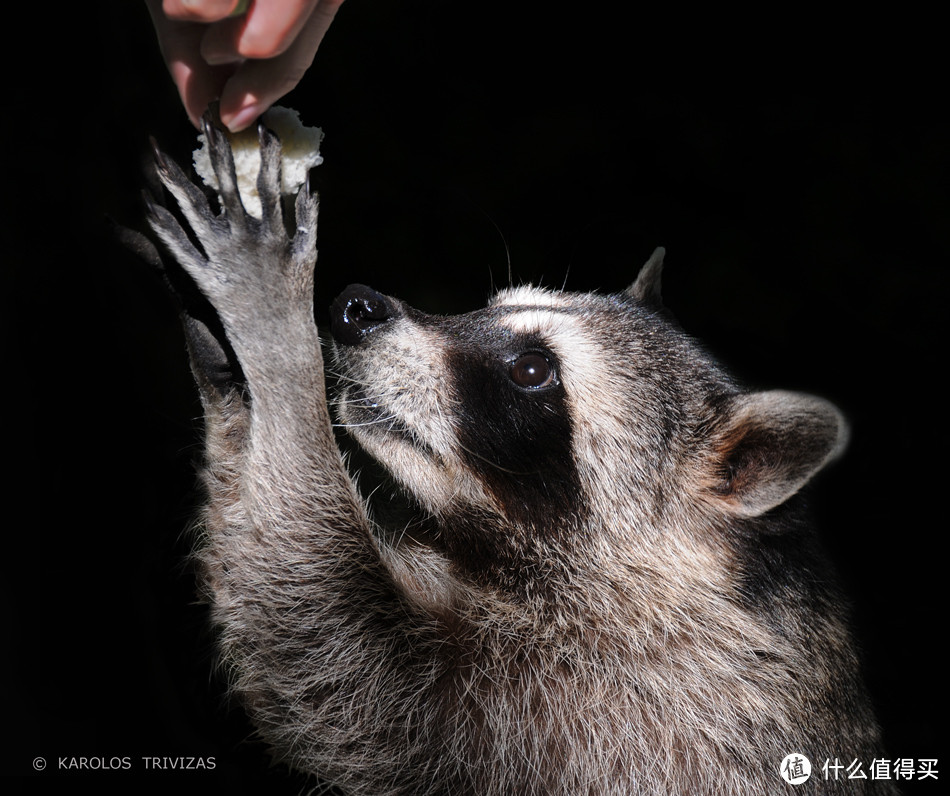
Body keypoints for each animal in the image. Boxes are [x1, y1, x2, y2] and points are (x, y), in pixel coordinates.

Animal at [141, 112, 892, 796]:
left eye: (533, 370)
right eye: (489, 306)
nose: (355, 307)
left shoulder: (619, 706)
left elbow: (323, 647)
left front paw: (275, 341)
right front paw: (237, 389)